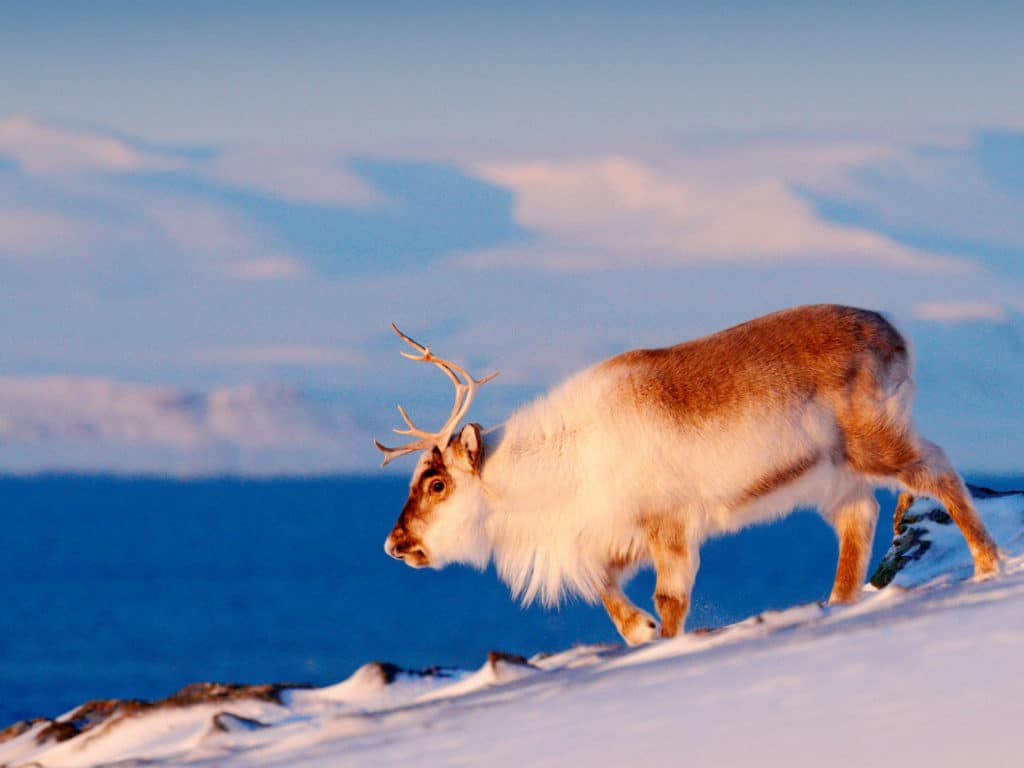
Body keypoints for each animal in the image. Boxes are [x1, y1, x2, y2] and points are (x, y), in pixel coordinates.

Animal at [376, 305, 1000, 645]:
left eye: (437, 484)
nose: (394, 544)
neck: (561, 467)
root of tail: (898, 333)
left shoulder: (668, 524)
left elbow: (669, 597)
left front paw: (664, 643)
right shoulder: (615, 533)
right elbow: (604, 587)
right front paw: (640, 632)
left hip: (874, 441)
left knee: (937, 470)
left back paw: (988, 565)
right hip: (832, 473)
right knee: (860, 518)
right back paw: (838, 605)